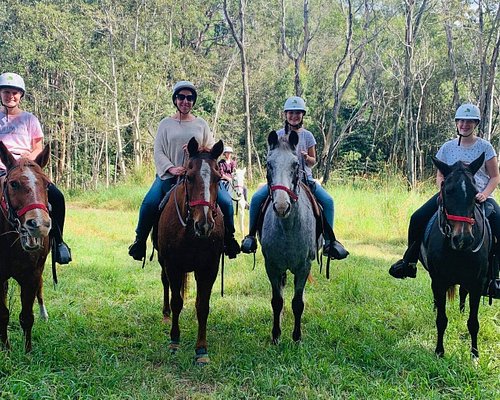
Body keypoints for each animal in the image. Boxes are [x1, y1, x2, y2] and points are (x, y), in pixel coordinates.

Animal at [157, 138, 224, 366]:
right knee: (165, 284)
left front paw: (201, 350)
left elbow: (203, 306)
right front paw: (174, 341)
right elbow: (177, 301)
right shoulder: (173, 265)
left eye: (218, 177)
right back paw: (166, 314)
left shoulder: (209, 268)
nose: (204, 225)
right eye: (188, 176)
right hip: (162, 261)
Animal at [260, 130, 314, 342]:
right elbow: (277, 300)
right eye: (269, 164)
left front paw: (297, 337)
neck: (288, 229)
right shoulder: (272, 266)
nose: (282, 207)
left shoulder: (304, 267)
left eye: (296, 164)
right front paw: (276, 335)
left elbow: (298, 303)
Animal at [420, 154, 490, 360]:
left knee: (462, 294)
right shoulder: (439, 281)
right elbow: (441, 319)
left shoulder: (477, 284)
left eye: (475, 192)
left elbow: (473, 322)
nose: (463, 239)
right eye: (448, 190)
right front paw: (439, 351)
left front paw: (474, 355)